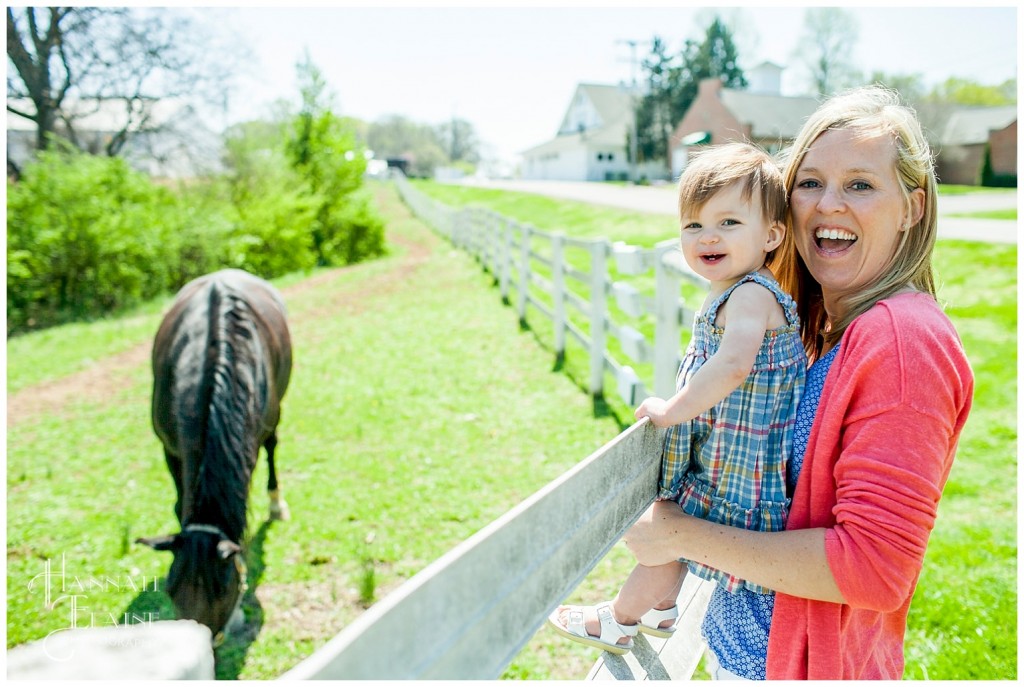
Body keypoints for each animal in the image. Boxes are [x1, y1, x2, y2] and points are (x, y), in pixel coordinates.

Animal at [136, 268, 292, 647]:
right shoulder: (170, 448)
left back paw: (276, 503)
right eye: (171, 590)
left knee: (273, 447)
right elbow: (180, 503)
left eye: (224, 592)